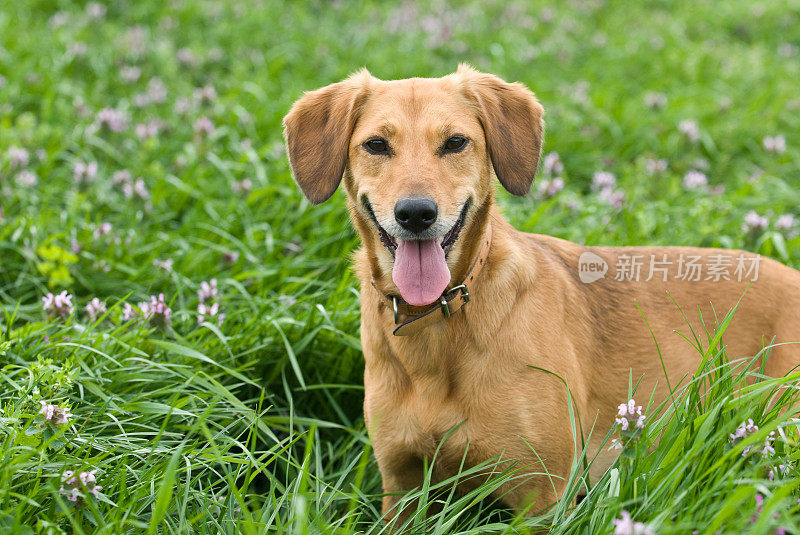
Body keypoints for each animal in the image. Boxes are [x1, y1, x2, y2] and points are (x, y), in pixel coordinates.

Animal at [282, 66, 800, 524]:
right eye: (376, 145)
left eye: (455, 142)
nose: (415, 214)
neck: (437, 323)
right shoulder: (402, 487)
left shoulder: (542, 493)